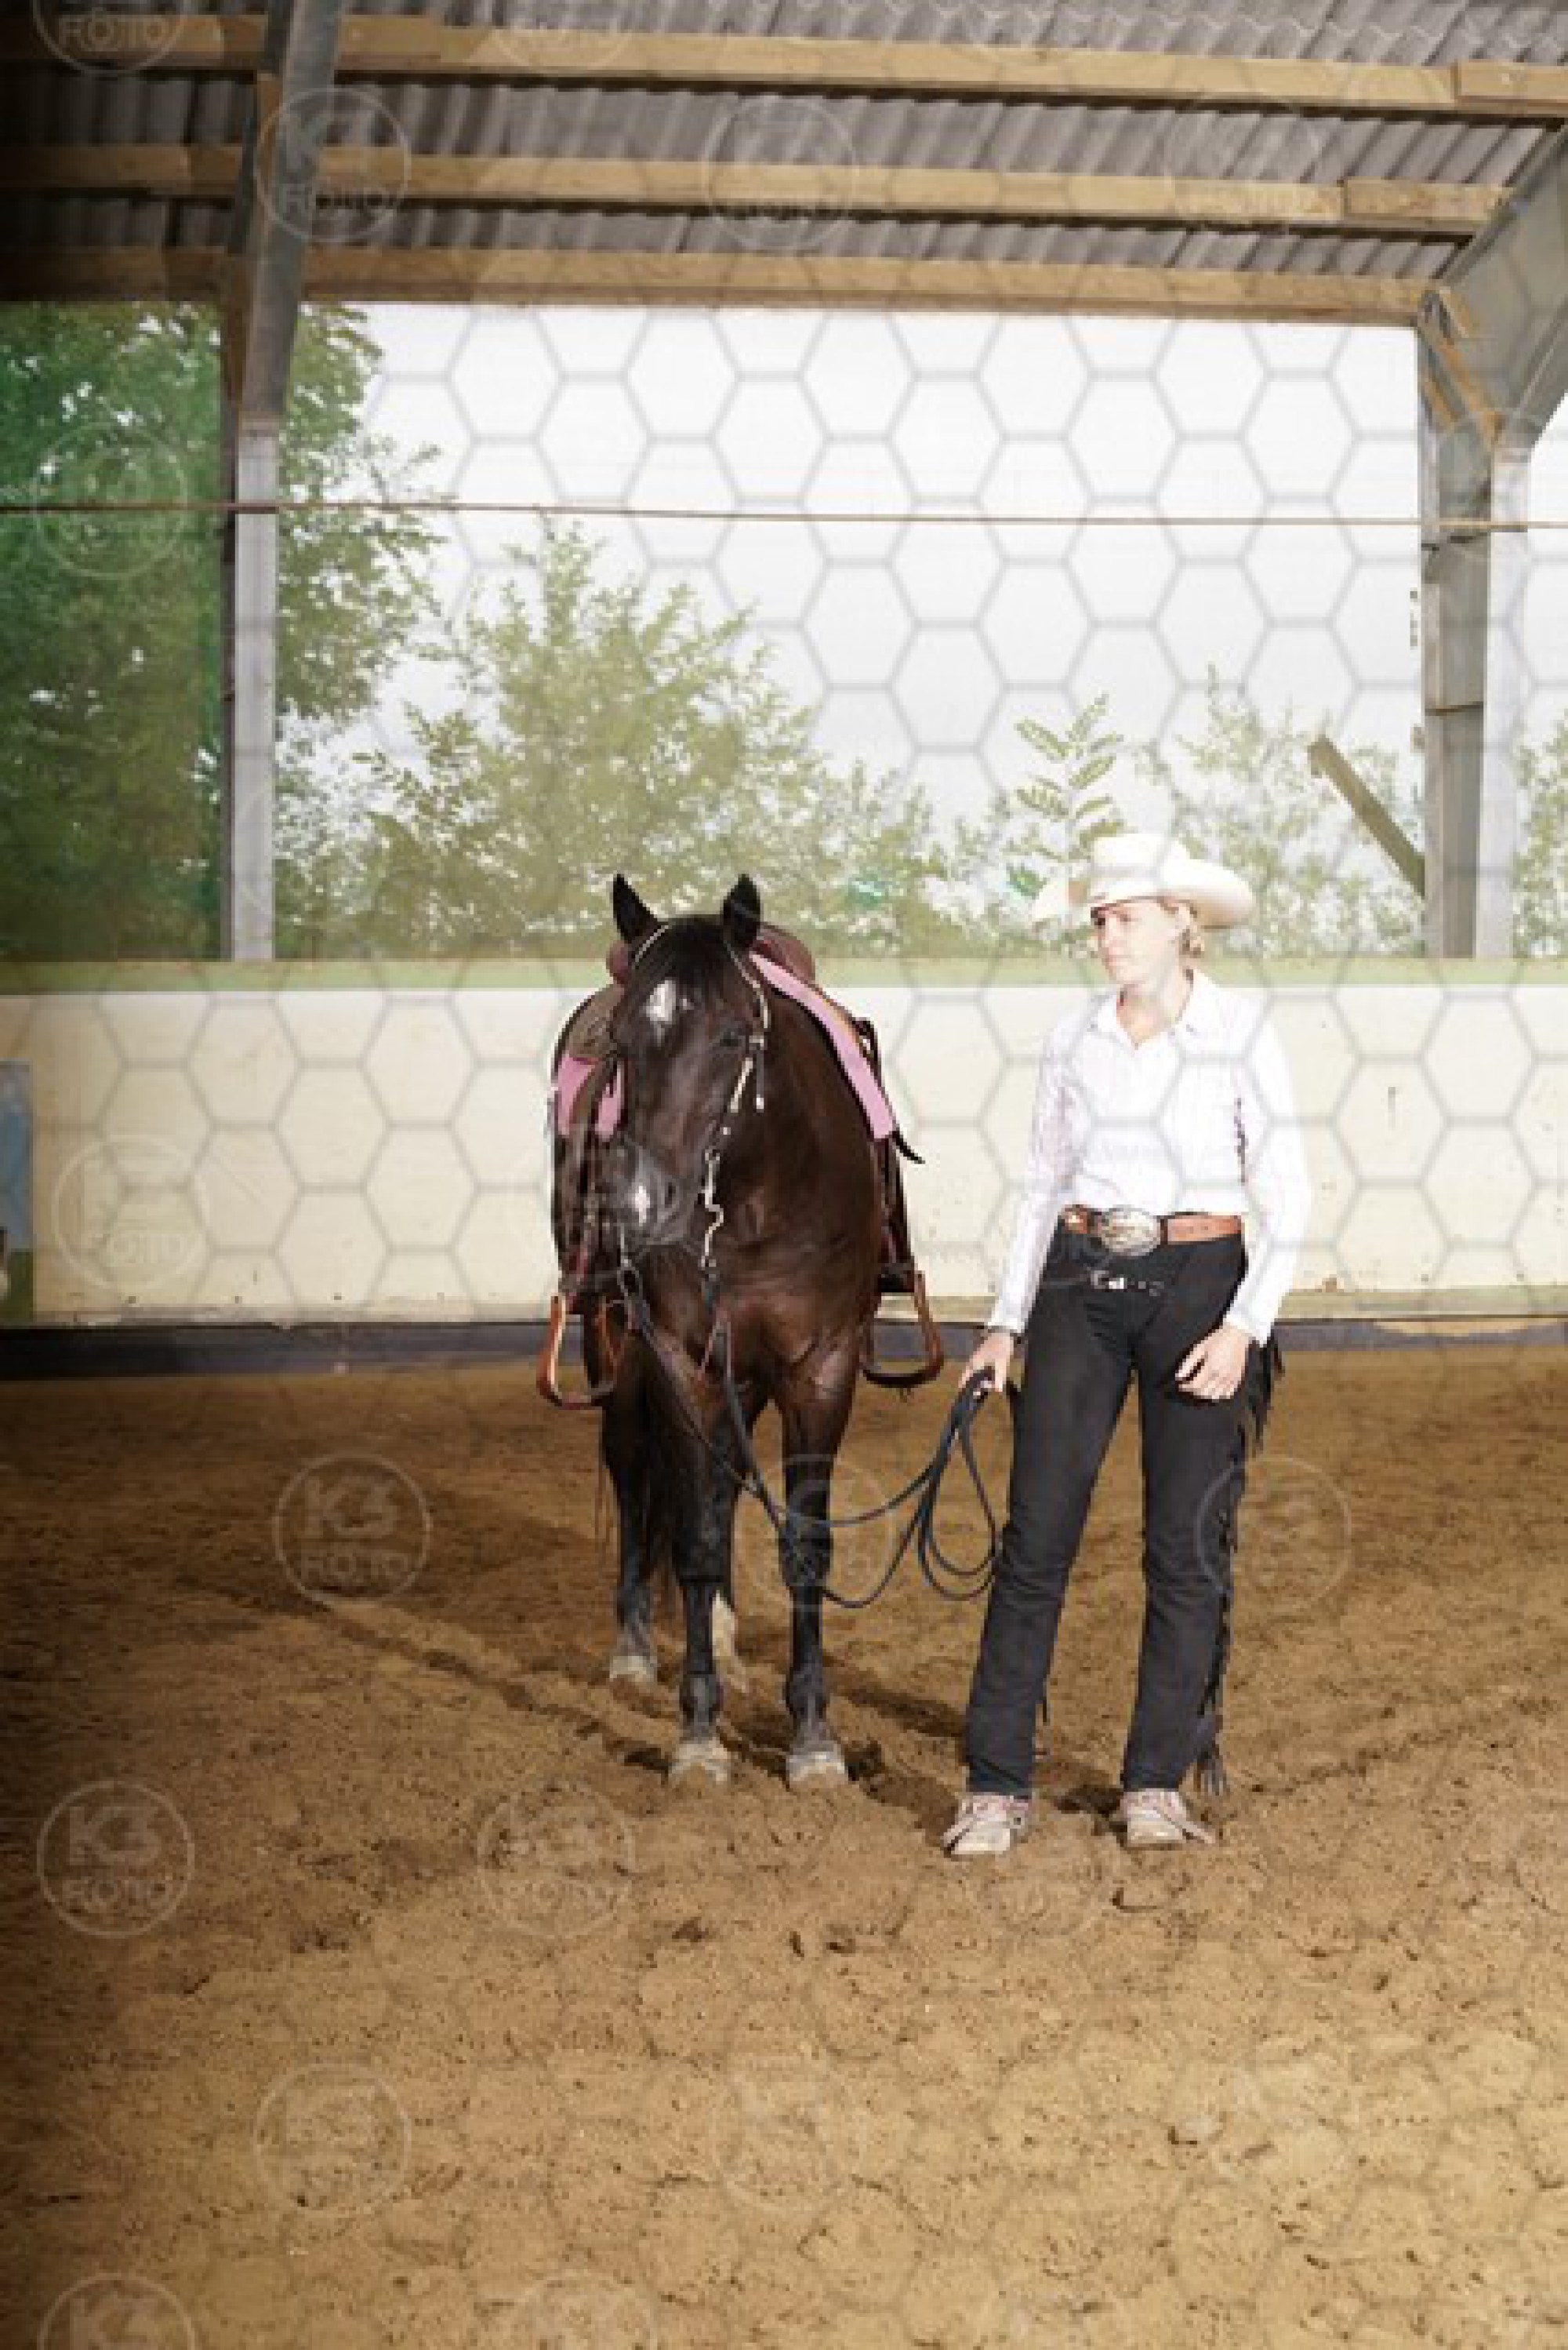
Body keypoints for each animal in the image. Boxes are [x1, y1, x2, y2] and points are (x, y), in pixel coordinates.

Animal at [551, 873, 886, 1789]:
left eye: (734, 1035)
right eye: (625, 1039)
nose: (637, 1205)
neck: (760, 1195)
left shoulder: (820, 1362)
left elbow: (803, 1541)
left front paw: (813, 1736)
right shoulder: (681, 1357)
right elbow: (695, 1537)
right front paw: (698, 1732)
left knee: (727, 1478)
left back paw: (732, 1646)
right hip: (611, 1335)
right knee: (634, 1467)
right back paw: (634, 1649)